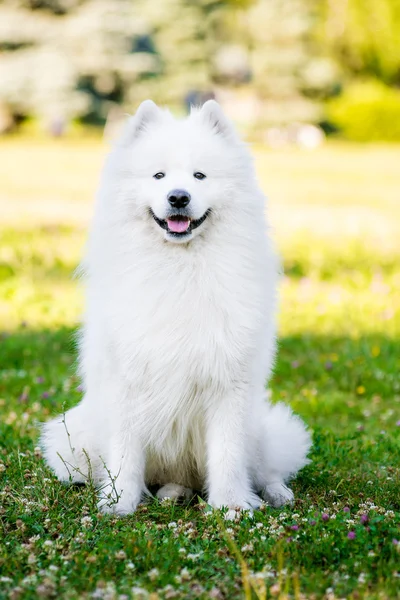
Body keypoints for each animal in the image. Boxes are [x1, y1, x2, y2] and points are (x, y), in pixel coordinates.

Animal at [40, 99, 310, 516]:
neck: (180, 269)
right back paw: (172, 493)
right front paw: (119, 503)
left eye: (200, 175)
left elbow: (228, 455)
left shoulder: (229, 384)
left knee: (265, 469)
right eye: (159, 175)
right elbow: (125, 457)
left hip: (261, 427)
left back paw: (275, 494)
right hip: (70, 441)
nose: (178, 197)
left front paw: (232, 505)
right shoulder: (128, 382)